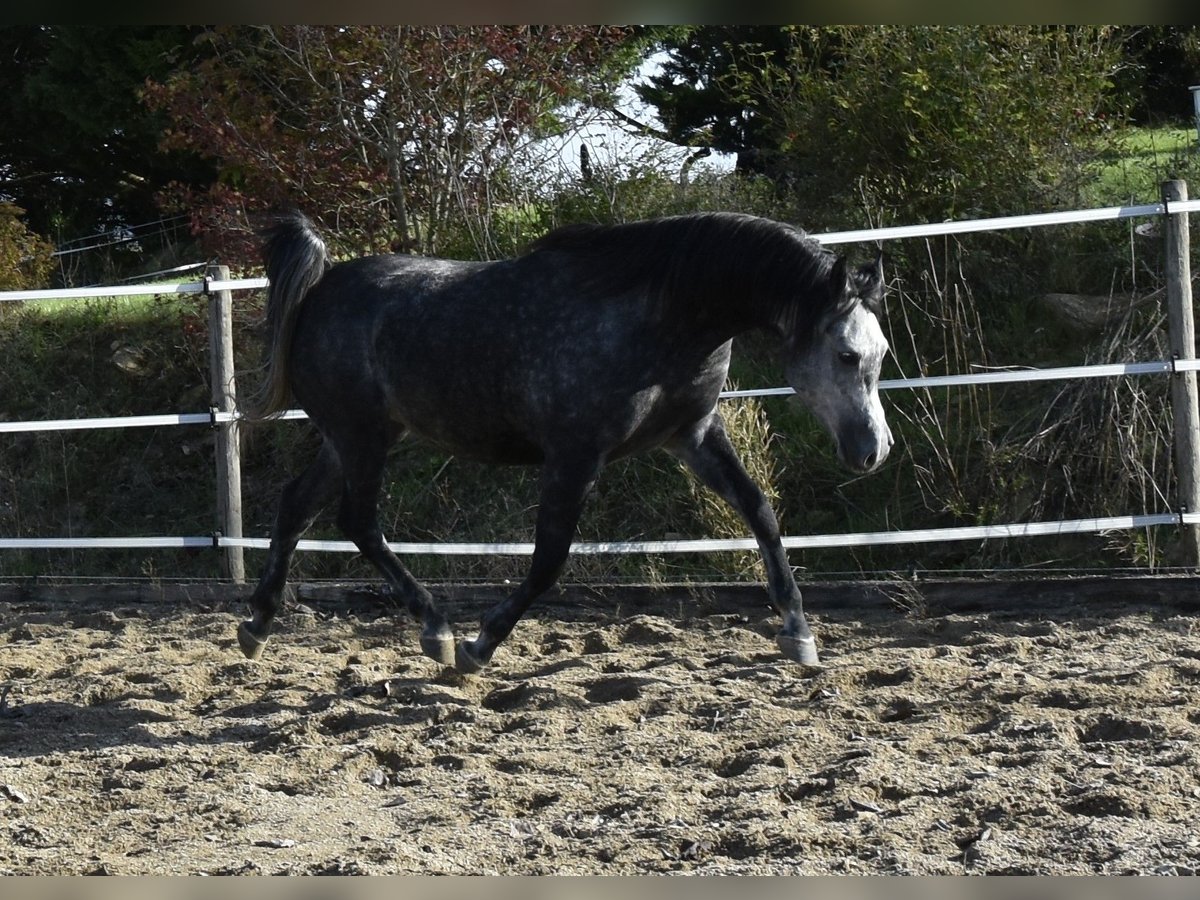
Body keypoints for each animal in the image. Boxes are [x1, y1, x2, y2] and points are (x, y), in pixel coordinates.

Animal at [236, 211, 892, 672]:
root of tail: (319, 290)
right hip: (363, 436)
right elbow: (549, 559)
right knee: (357, 521)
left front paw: (798, 632)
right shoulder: (575, 455)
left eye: (880, 352)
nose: (874, 451)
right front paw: (479, 646)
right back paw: (437, 629)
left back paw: (258, 625)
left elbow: (761, 512)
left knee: (297, 506)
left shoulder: (694, 435)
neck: (661, 318)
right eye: (846, 353)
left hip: (350, 439)